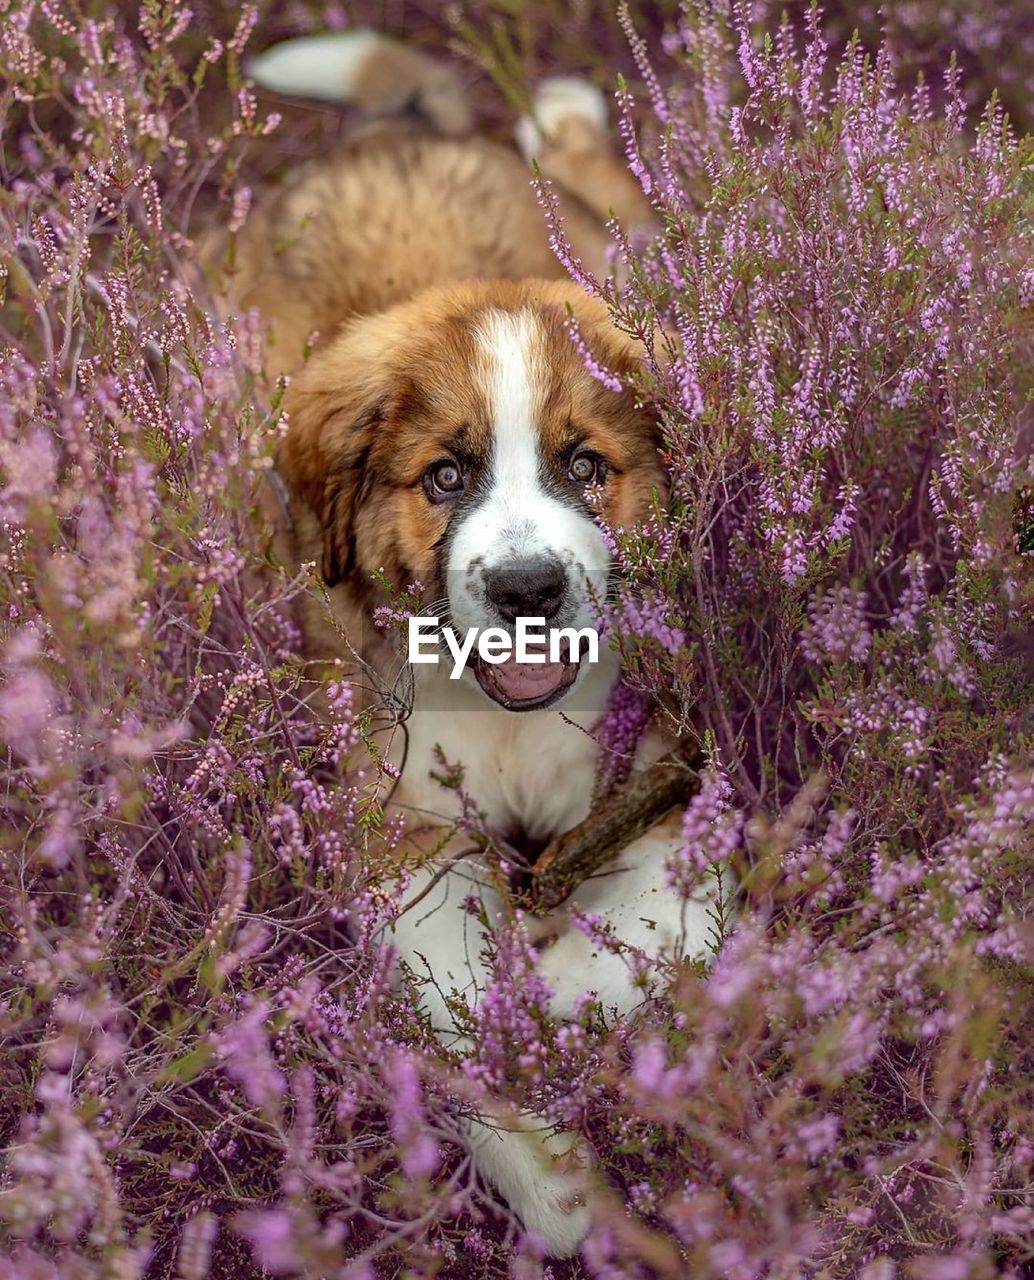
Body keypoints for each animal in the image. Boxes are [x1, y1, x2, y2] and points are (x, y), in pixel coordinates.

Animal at [226, 32, 721, 1259]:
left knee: (607, 190)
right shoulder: (392, 824)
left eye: (586, 467)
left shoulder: (670, 780)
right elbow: (454, 1006)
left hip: (614, 244)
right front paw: (552, 1175)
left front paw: (557, 990)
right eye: (444, 477)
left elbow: (649, 936)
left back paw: (567, 112)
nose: (527, 587)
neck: (509, 724)